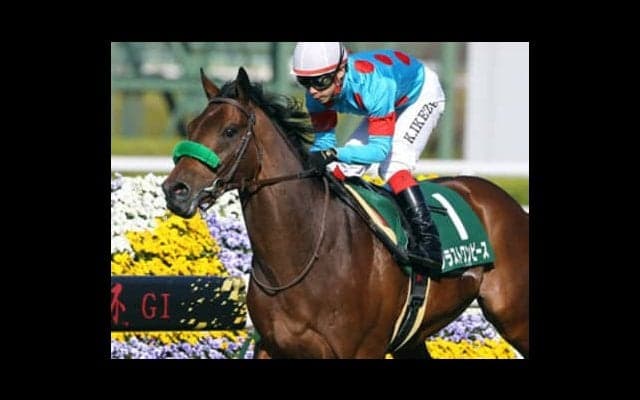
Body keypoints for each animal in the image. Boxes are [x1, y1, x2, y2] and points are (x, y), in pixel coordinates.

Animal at [162, 67, 529, 359]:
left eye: (230, 131)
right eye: (191, 126)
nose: (175, 190)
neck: (303, 255)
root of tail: (506, 202)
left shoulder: (360, 349)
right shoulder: (271, 346)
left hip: (514, 317)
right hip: (414, 339)